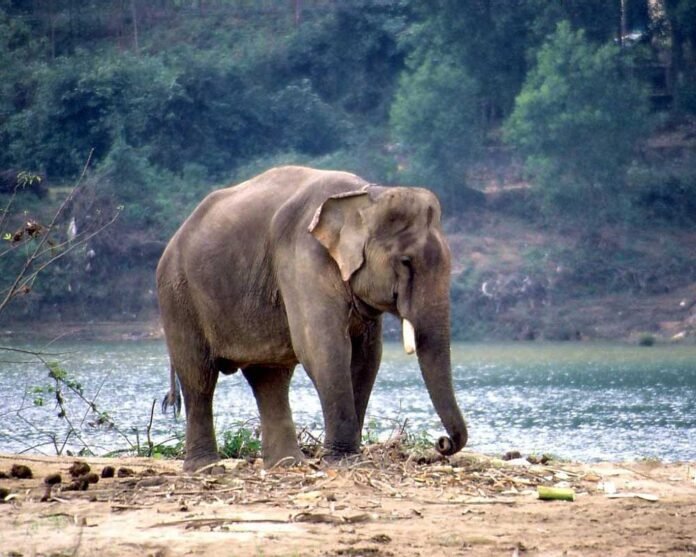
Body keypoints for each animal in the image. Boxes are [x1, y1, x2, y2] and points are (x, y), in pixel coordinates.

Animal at [157, 165, 468, 472]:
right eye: (405, 261)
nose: (443, 443)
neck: (367, 194)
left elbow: (368, 356)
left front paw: (351, 458)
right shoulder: (304, 256)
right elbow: (323, 347)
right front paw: (343, 461)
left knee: (269, 378)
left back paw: (286, 464)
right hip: (177, 295)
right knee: (199, 376)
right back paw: (206, 468)